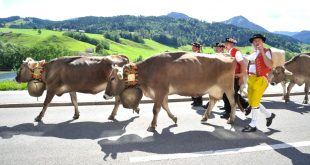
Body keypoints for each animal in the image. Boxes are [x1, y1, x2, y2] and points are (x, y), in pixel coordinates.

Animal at [103, 51, 236, 131]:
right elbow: (165, 107)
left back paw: (231, 119)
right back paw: (205, 117)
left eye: (112, 78)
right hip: (214, 89)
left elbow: (155, 109)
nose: (105, 96)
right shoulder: (163, 93)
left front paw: (152, 125)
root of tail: (227, 55)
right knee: (212, 101)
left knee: (232, 102)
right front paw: (174, 118)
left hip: (228, 87)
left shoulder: (160, 91)